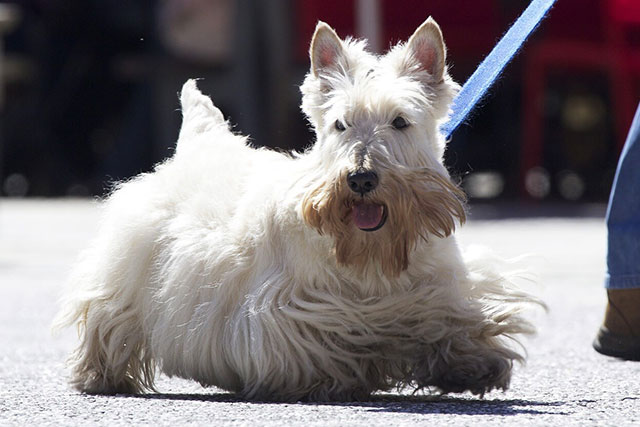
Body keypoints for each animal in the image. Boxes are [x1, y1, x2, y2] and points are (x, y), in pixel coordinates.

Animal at [57, 18, 540, 402]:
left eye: (401, 121)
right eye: (340, 124)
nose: (361, 179)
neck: (372, 254)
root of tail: (198, 141)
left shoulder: (440, 285)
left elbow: (450, 318)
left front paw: (472, 363)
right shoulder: (286, 313)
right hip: (126, 270)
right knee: (107, 317)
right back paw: (99, 375)